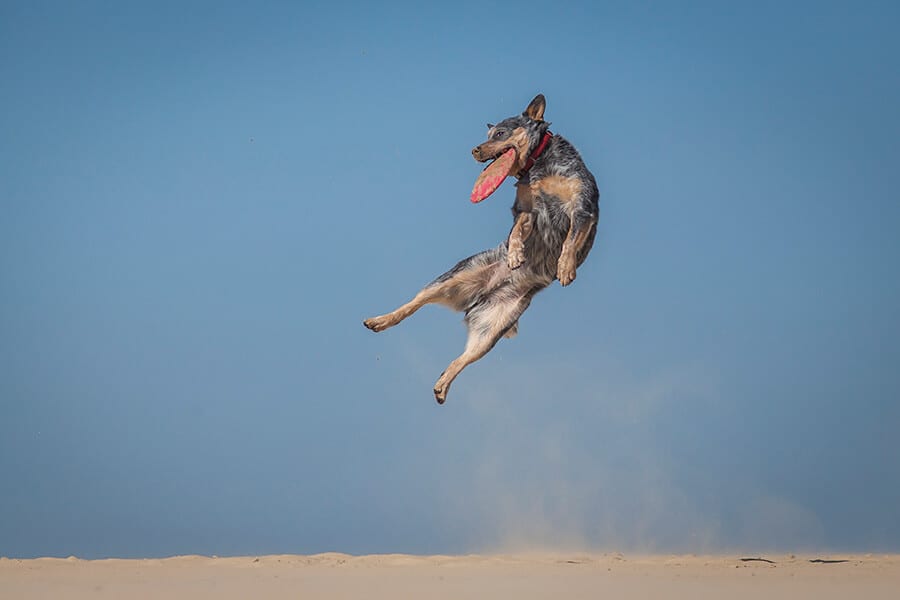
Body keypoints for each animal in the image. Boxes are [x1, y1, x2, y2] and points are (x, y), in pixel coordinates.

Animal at [362, 95, 600, 404]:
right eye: (487, 135)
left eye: (500, 133)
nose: (474, 149)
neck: (538, 165)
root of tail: (480, 298)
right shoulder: (526, 209)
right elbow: (518, 231)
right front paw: (515, 254)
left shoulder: (581, 206)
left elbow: (570, 240)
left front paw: (565, 267)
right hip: (456, 276)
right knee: (413, 304)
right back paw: (380, 321)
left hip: (491, 330)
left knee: (462, 359)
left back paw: (442, 386)